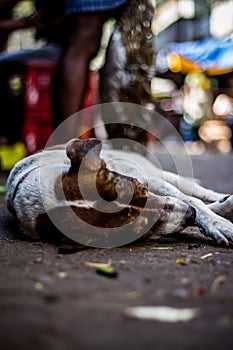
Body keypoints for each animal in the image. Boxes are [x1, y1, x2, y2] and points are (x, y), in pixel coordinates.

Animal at [5, 137, 233, 246]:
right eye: (141, 229)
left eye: (140, 190)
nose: (189, 216)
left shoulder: (146, 179)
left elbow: (196, 202)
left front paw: (218, 224)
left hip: (159, 173)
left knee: (197, 192)